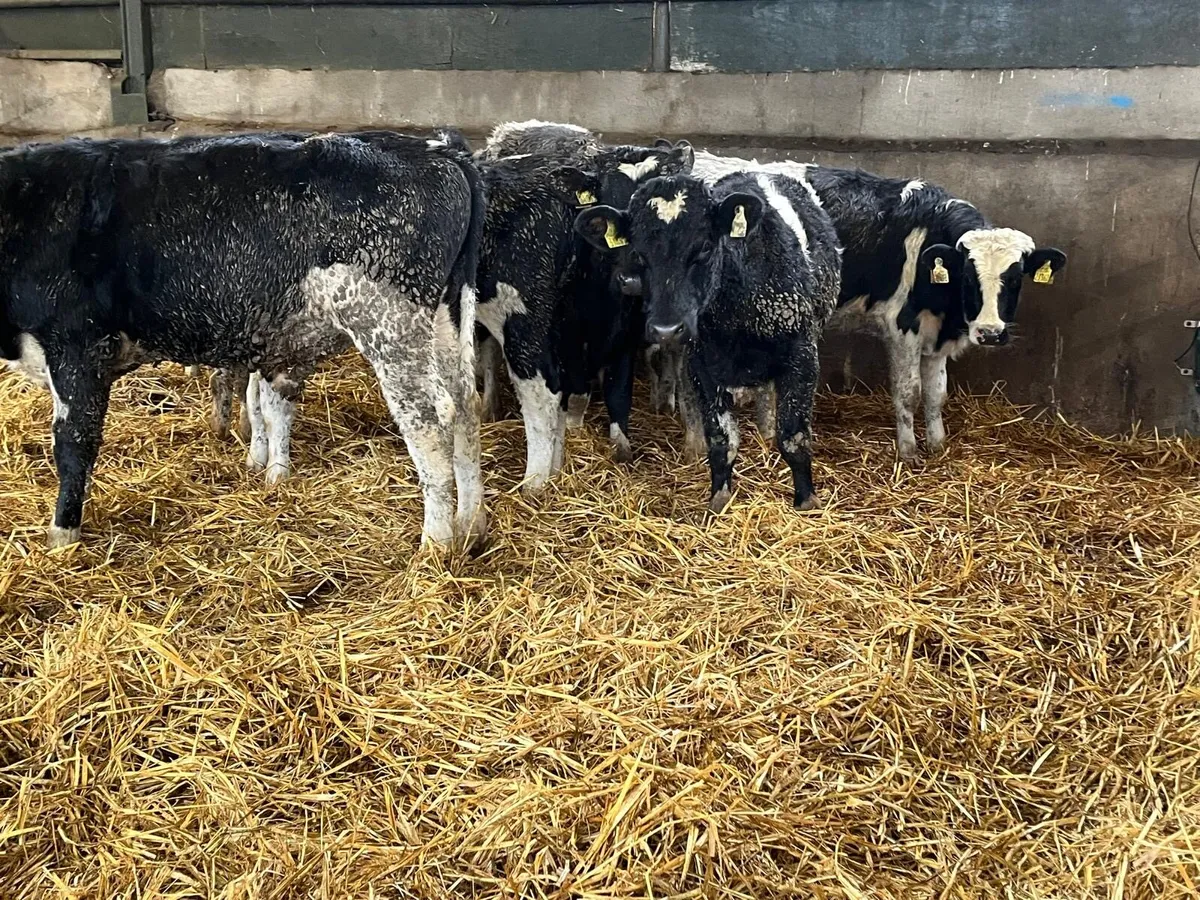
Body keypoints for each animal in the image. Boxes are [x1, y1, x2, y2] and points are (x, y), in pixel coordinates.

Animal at [0, 130, 487, 549]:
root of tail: (435, 150)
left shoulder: (78, 346)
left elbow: (74, 442)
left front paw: (62, 534)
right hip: (445, 317)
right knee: (465, 404)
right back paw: (472, 524)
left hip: (389, 323)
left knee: (429, 420)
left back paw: (436, 542)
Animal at [574, 170, 842, 513]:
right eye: (639, 253)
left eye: (703, 247)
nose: (666, 329)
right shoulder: (702, 366)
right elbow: (721, 439)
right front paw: (719, 498)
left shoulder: (803, 357)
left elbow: (794, 436)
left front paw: (806, 500)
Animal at [692, 151, 1067, 459]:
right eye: (967, 278)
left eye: (1015, 279)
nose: (989, 333)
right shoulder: (902, 325)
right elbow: (909, 392)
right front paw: (909, 450)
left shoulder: (937, 335)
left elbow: (937, 394)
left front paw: (937, 445)